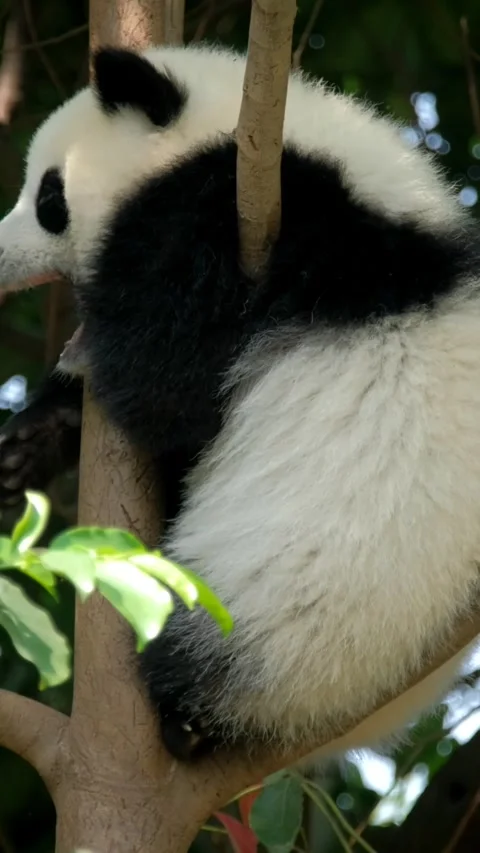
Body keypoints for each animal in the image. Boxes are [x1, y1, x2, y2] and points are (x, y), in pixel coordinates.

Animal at [0, 41, 479, 765]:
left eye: (49, 196)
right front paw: (25, 444)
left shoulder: (266, 221)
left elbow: (167, 388)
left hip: (292, 624)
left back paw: (186, 720)